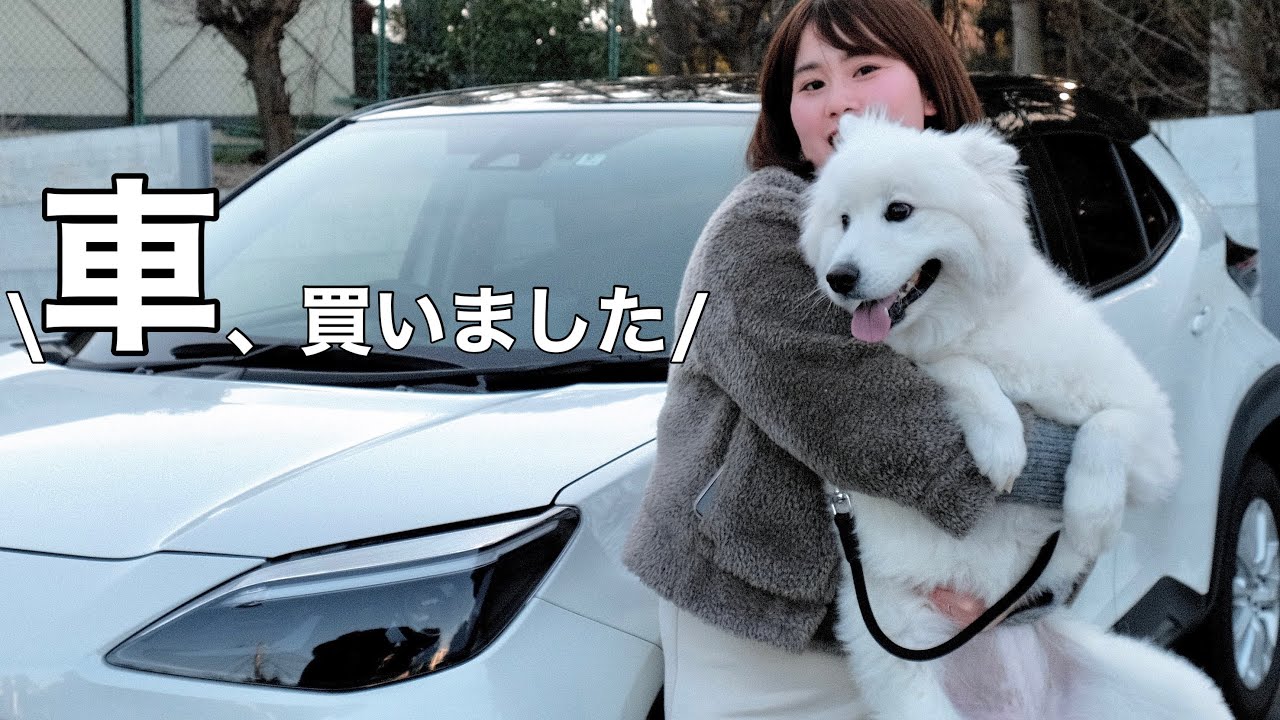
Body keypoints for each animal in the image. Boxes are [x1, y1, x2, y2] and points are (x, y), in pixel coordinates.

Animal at [798, 110, 1233, 719]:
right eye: (842, 221)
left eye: (899, 211)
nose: (838, 278)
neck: (972, 325)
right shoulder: (930, 367)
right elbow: (963, 371)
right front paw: (1002, 446)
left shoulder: (1153, 434)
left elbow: (1106, 427)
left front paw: (1092, 519)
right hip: (915, 689)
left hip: (1179, 694)